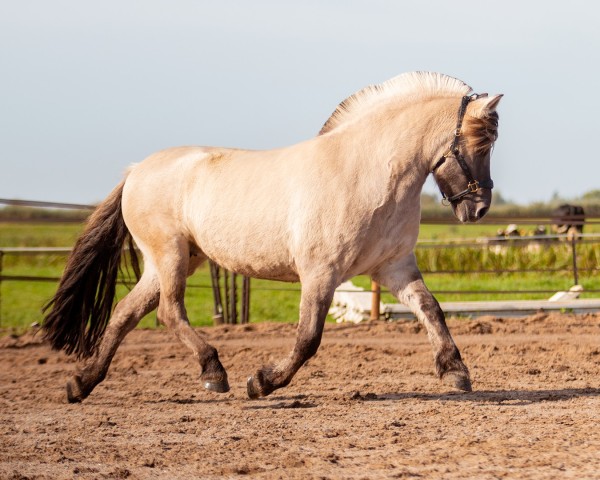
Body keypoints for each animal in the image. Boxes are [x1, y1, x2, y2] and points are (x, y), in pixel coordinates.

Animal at [41, 71, 502, 402]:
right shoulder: (320, 273)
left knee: (125, 313)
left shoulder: (394, 267)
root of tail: (137, 170)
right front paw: (262, 382)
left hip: (174, 260)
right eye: (480, 143)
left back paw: (81, 384)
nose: (479, 209)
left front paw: (456, 372)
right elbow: (308, 338)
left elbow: (432, 310)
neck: (368, 173)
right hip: (169, 254)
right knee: (169, 312)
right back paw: (214, 373)